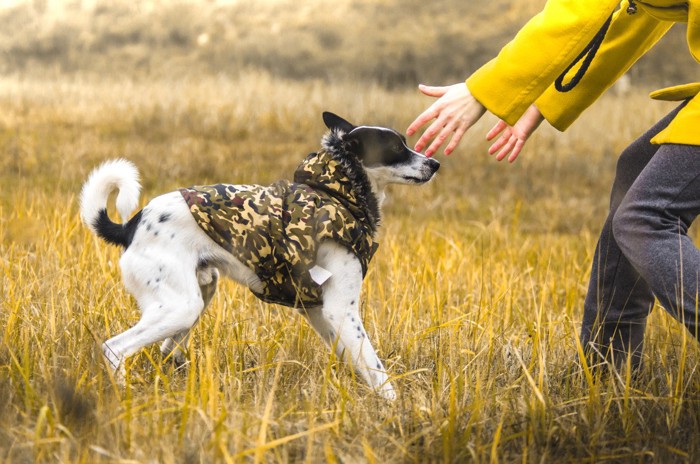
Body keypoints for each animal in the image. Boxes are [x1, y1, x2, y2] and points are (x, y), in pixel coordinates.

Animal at [80, 111, 438, 398]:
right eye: (396, 147)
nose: (435, 163)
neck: (339, 193)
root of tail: (131, 225)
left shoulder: (318, 310)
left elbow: (356, 361)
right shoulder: (342, 310)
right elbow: (377, 370)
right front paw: (396, 410)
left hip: (199, 293)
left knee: (169, 349)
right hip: (180, 306)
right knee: (115, 348)